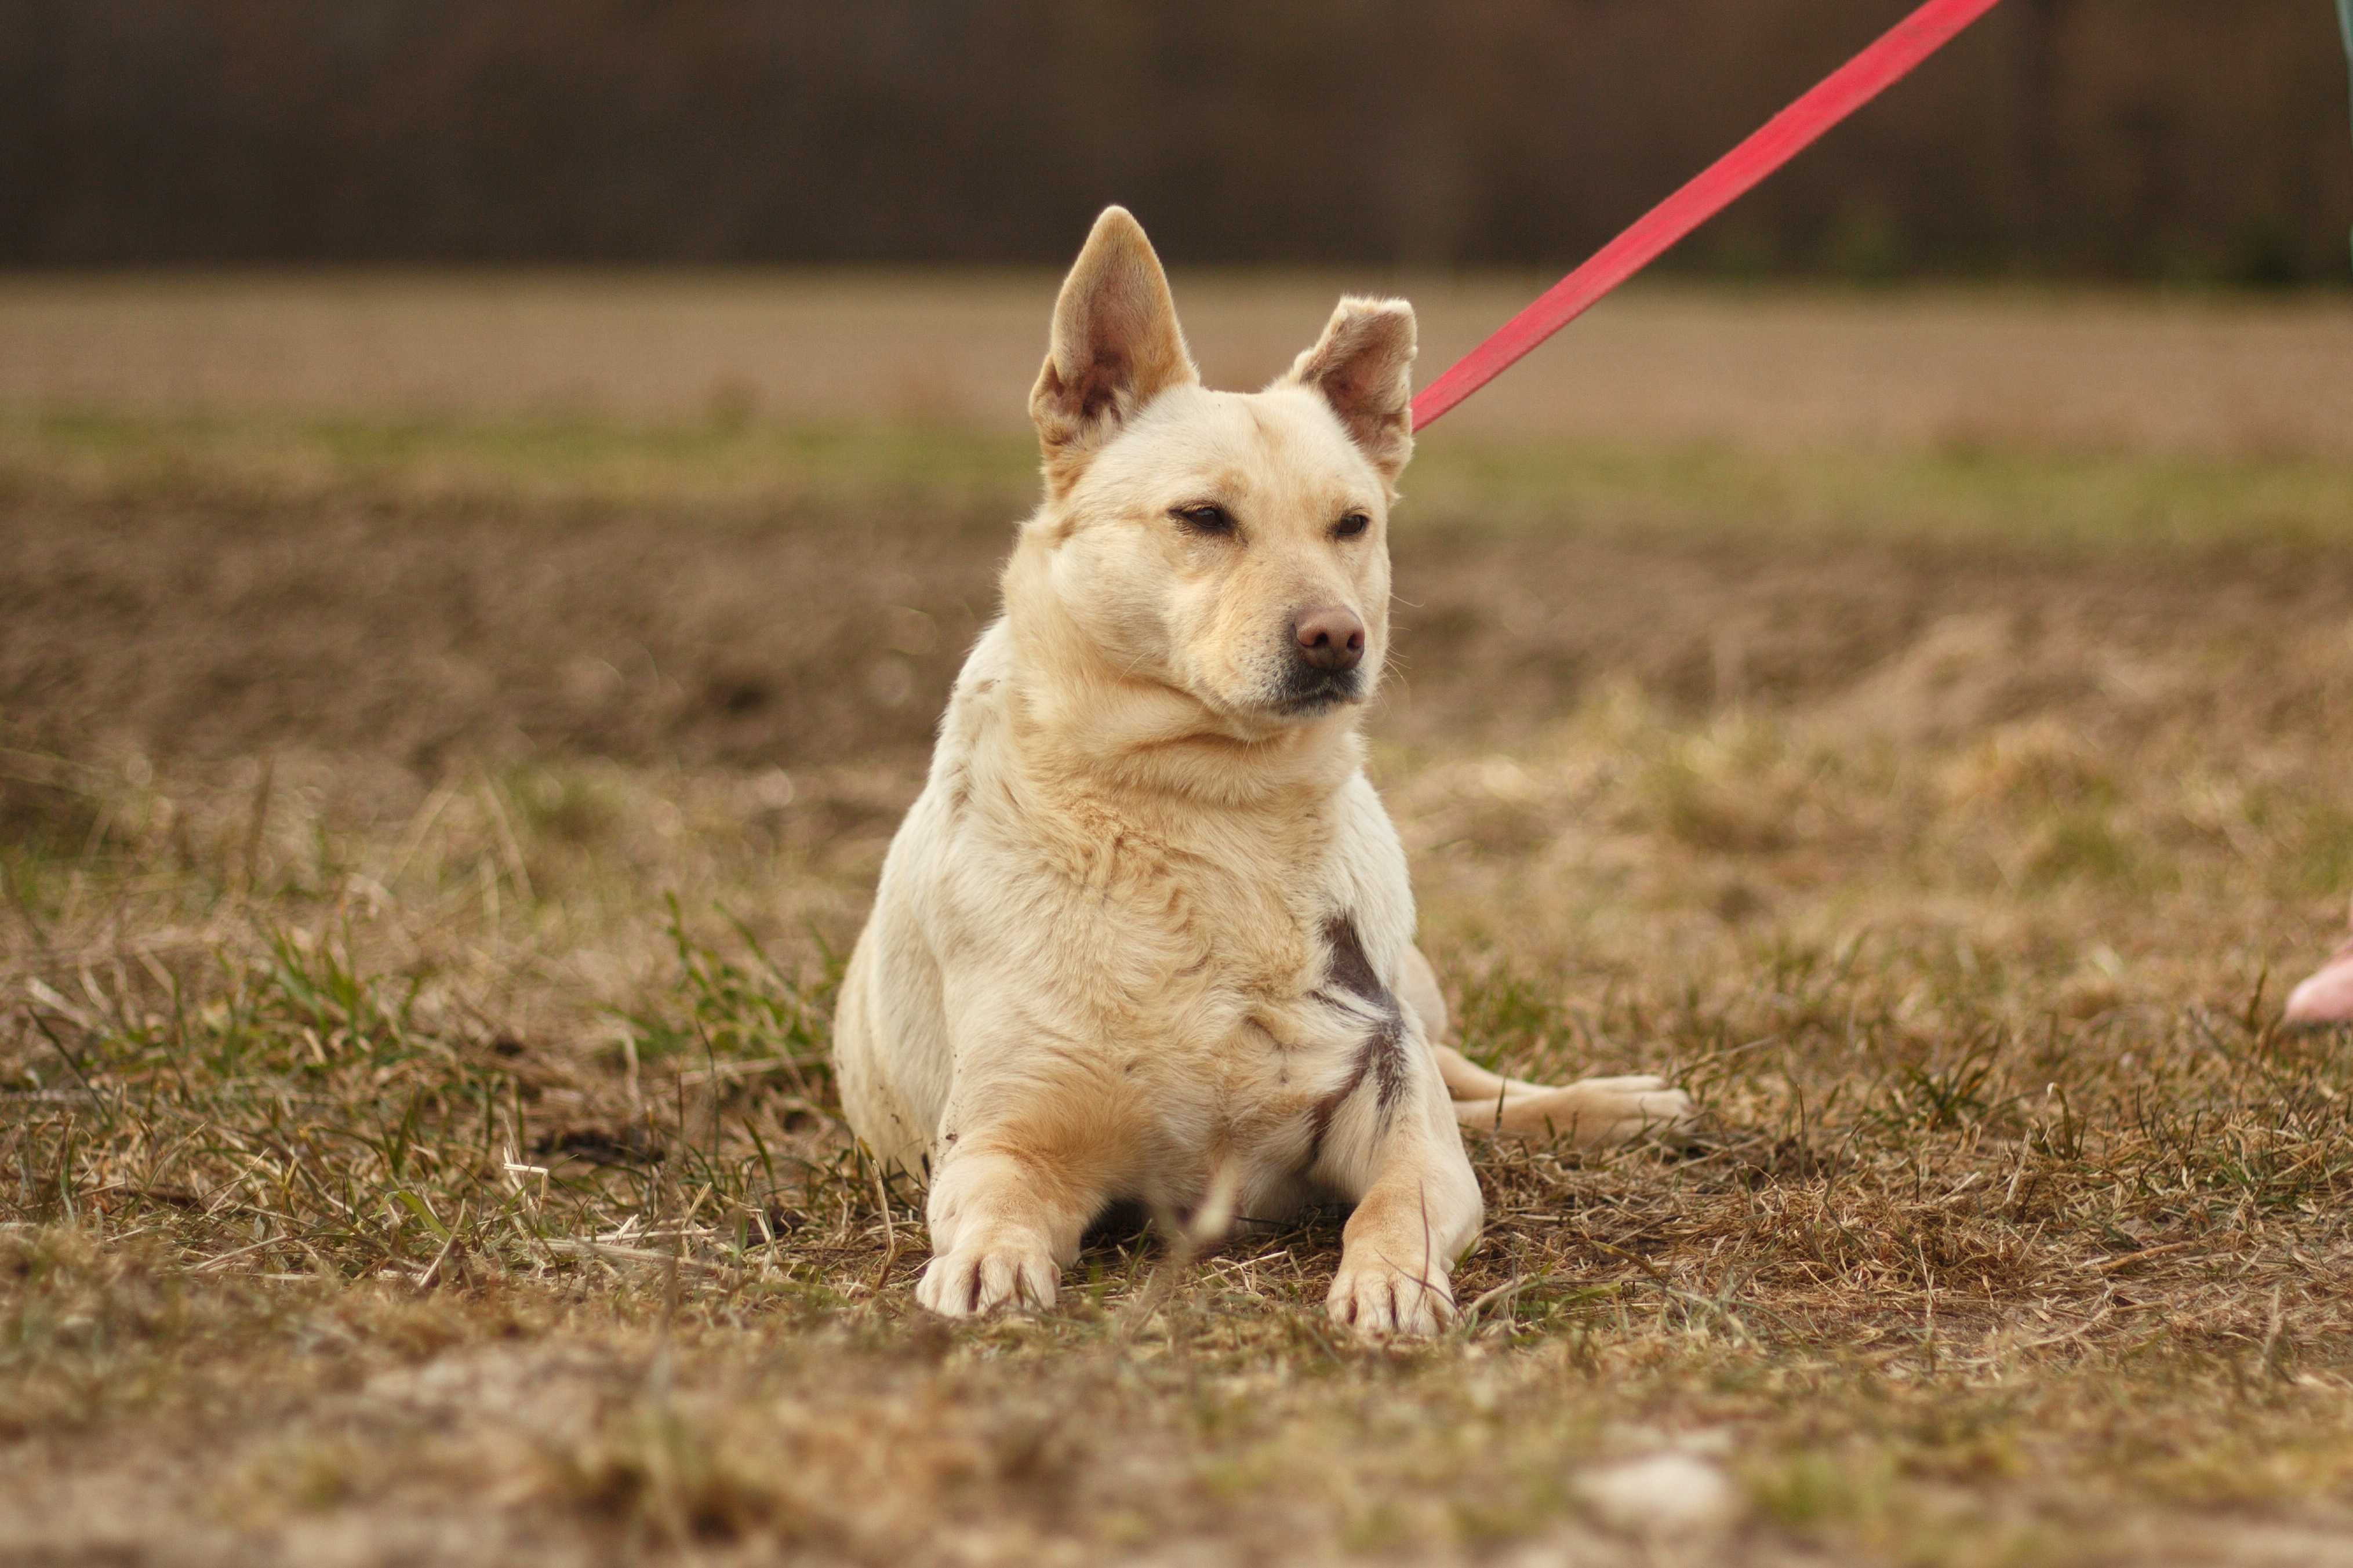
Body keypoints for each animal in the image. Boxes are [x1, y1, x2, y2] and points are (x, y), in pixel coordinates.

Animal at [832, 207, 1694, 1327]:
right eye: (1203, 517)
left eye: (1352, 524)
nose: (1335, 638)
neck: (1208, 807)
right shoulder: (1004, 1133)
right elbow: (992, 1202)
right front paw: (986, 1264)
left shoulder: (1393, 1113)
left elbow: (1400, 1202)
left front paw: (1389, 1283)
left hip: (1413, 1007)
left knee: (1482, 1092)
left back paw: (1621, 1107)